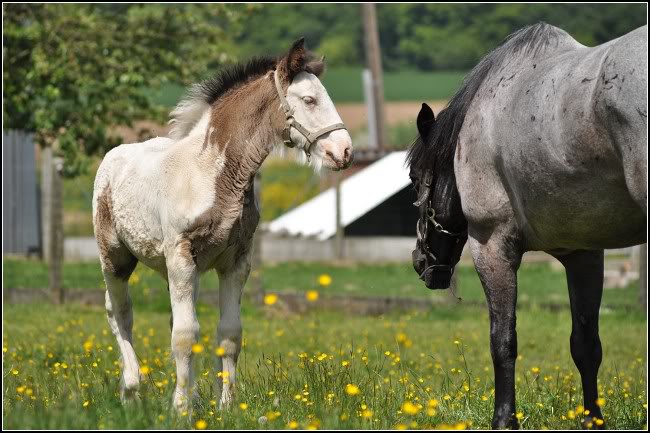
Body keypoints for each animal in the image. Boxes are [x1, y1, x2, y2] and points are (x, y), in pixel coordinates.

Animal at [92, 39, 350, 412]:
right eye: (309, 100)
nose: (344, 152)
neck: (211, 173)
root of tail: (113, 158)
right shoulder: (181, 255)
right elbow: (185, 335)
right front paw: (181, 409)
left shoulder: (235, 261)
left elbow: (228, 334)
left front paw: (225, 405)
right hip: (115, 257)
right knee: (120, 313)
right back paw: (131, 389)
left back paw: (192, 394)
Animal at [404, 22, 644, 426]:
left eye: (415, 178)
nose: (420, 261)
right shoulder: (584, 252)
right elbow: (586, 344)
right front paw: (591, 419)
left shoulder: (492, 246)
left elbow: (502, 341)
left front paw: (504, 419)